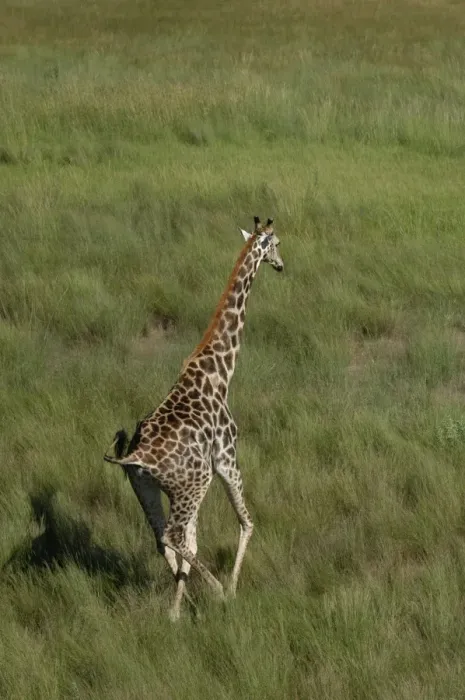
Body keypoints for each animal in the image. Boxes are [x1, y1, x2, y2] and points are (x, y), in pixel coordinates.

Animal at [104, 216, 284, 620]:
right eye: (278, 242)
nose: (281, 265)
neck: (220, 370)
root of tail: (135, 457)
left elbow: (196, 542)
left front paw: (182, 605)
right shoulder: (226, 458)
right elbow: (247, 521)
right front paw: (230, 589)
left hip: (149, 488)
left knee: (163, 538)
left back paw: (176, 610)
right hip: (193, 484)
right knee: (172, 535)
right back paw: (214, 590)